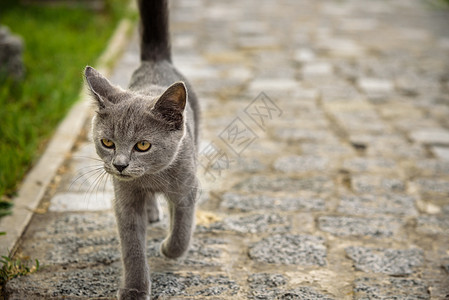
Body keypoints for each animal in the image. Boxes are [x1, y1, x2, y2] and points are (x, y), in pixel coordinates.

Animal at [83, 1, 198, 298]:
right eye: (107, 143)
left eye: (143, 145)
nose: (120, 164)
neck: (151, 178)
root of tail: (155, 62)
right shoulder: (124, 200)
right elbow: (132, 248)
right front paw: (134, 288)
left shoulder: (187, 188)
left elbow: (182, 230)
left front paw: (169, 249)